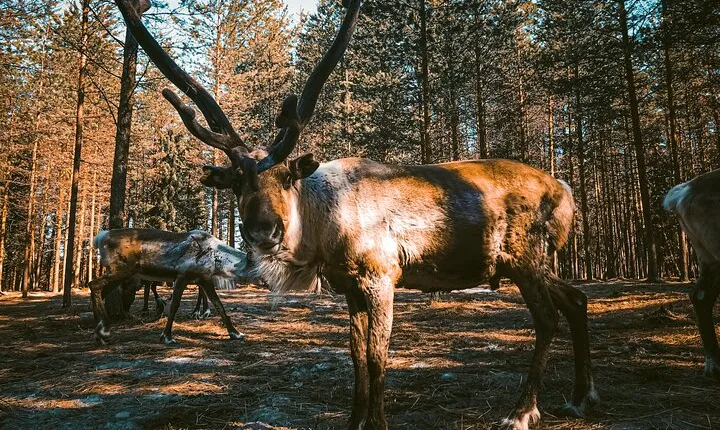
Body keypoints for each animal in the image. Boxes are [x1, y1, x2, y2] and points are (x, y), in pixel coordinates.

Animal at [89, 228, 252, 345]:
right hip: (121, 270)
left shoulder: (204, 280)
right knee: (93, 285)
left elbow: (219, 305)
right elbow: (174, 305)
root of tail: (100, 237)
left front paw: (235, 333)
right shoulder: (182, 276)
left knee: (99, 291)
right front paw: (167, 336)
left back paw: (100, 330)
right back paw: (103, 329)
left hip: (119, 273)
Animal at [115, 0, 596, 428]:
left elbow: (377, 357)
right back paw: (579, 396)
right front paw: (354, 420)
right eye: (236, 183)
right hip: (530, 263)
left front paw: (377, 422)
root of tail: (566, 191)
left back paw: (522, 412)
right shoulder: (348, 286)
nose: (262, 230)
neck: (324, 234)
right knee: (576, 298)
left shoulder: (382, 275)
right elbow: (355, 354)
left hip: (525, 256)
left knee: (548, 317)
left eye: (287, 176)